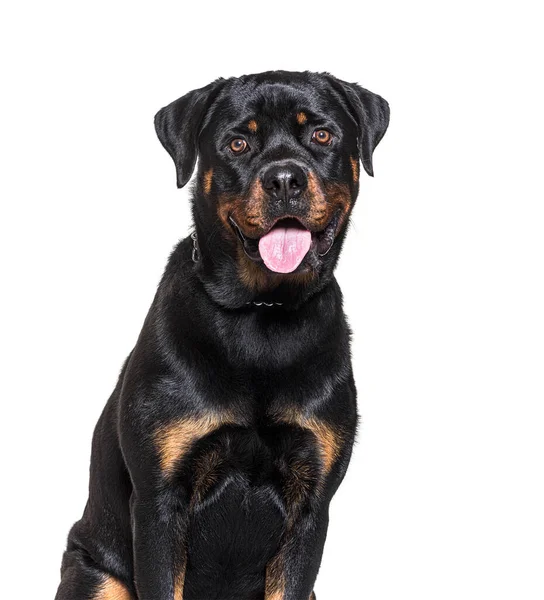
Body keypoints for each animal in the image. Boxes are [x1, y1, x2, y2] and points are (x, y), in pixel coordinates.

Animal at [55, 70, 388, 600]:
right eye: (237, 143)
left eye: (321, 136)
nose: (285, 179)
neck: (263, 312)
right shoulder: (159, 503)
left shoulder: (312, 506)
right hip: (96, 576)